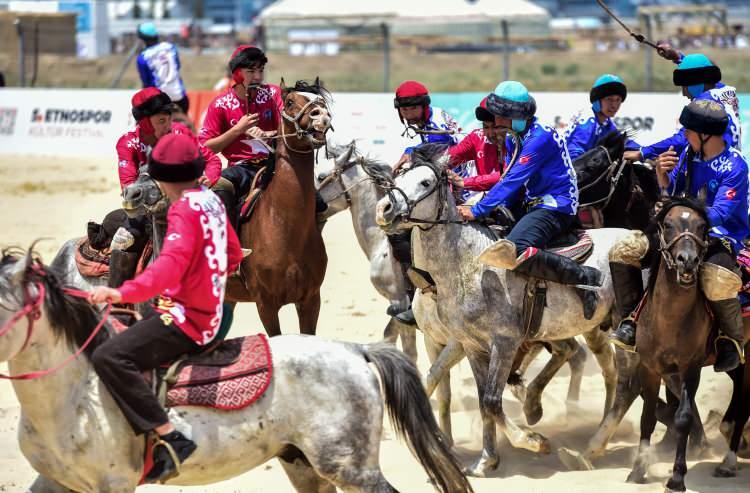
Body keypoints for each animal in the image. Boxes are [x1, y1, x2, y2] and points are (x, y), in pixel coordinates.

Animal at [0, 250, 470, 492]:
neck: (77, 395)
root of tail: (355, 351)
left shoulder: (115, 485)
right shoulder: (54, 482)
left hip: (350, 467)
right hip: (302, 463)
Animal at [374, 144, 624, 474]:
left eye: (425, 182)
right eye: (396, 178)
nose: (384, 209)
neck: (469, 265)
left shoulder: (503, 343)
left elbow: (491, 400)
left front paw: (532, 441)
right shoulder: (469, 345)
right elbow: (477, 399)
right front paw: (485, 460)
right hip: (592, 330)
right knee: (606, 369)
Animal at [624, 198, 712, 490]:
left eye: (702, 226)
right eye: (669, 224)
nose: (688, 261)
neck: (670, 320)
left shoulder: (691, 368)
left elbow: (683, 417)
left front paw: (676, 477)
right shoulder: (650, 369)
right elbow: (647, 418)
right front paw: (637, 471)